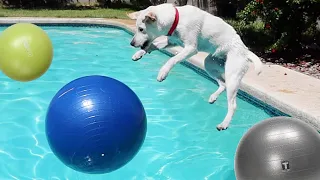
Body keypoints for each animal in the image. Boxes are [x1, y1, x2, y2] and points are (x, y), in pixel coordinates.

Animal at [129, 3, 262, 131]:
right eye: (137, 28)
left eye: (141, 29)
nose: (131, 43)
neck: (177, 20)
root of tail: (246, 51)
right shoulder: (171, 42)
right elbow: (152, 45)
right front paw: (139, 53)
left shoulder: (191, 49)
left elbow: (172, 59)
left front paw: (163, 72)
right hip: (209, 64)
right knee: (223, 84)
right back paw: (214, 97)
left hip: (232, 75)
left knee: (232, 105)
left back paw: (224, 123)